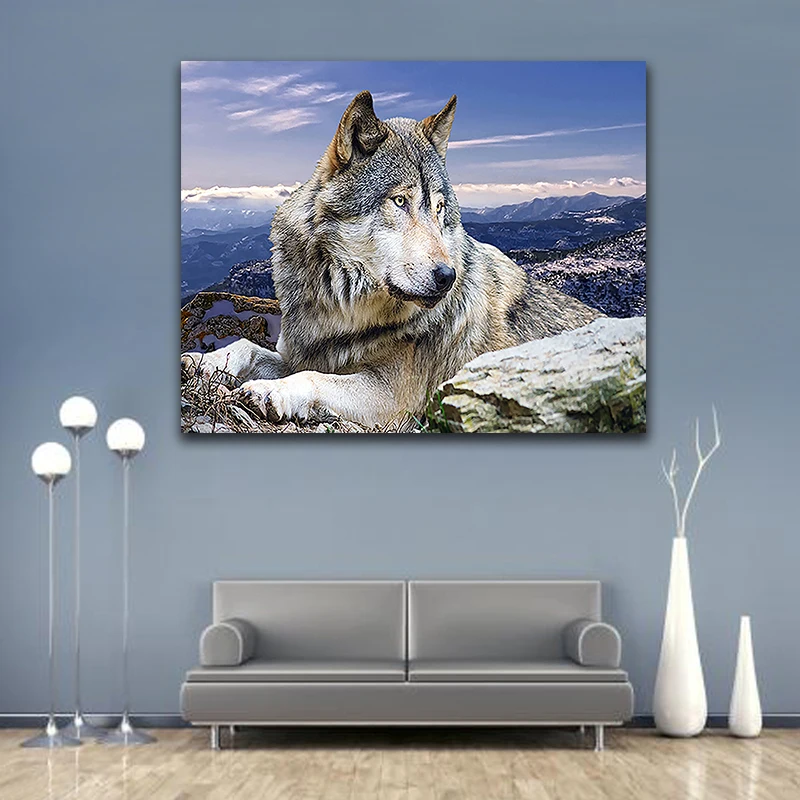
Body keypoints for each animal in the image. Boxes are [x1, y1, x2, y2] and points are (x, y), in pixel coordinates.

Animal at [181, 91, 601, 429]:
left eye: (439, 208)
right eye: (400, 201)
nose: (447, 276)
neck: (341, 307)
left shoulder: (392, 397)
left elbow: (314, 378)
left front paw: (272, 393)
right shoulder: (302, 353)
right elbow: (246, 346)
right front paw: (203, 361)